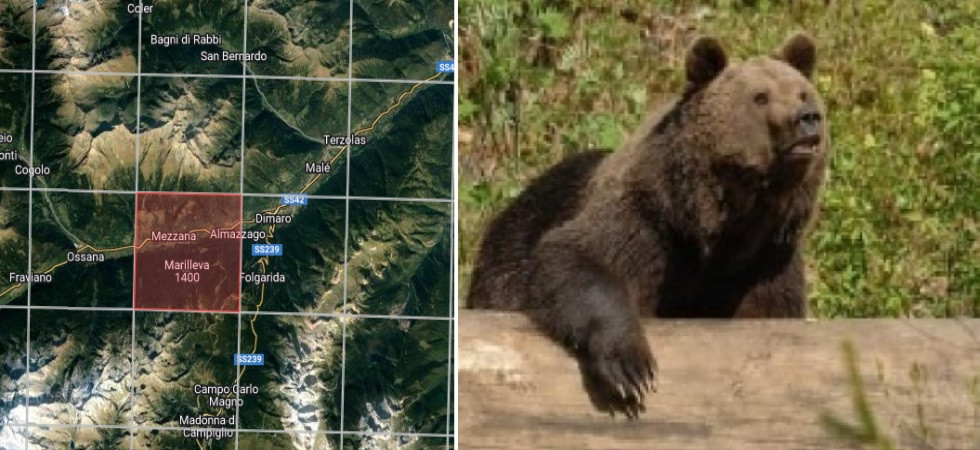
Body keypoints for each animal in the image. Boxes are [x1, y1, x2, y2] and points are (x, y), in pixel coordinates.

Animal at [467, 33, 829, 418]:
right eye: (760, 97)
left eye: (803, 92)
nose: (808, 118)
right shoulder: (644, 225)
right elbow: (576, 258)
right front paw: (632, 369)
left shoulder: (767, 262)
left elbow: (769, 313)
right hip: (506, 259)